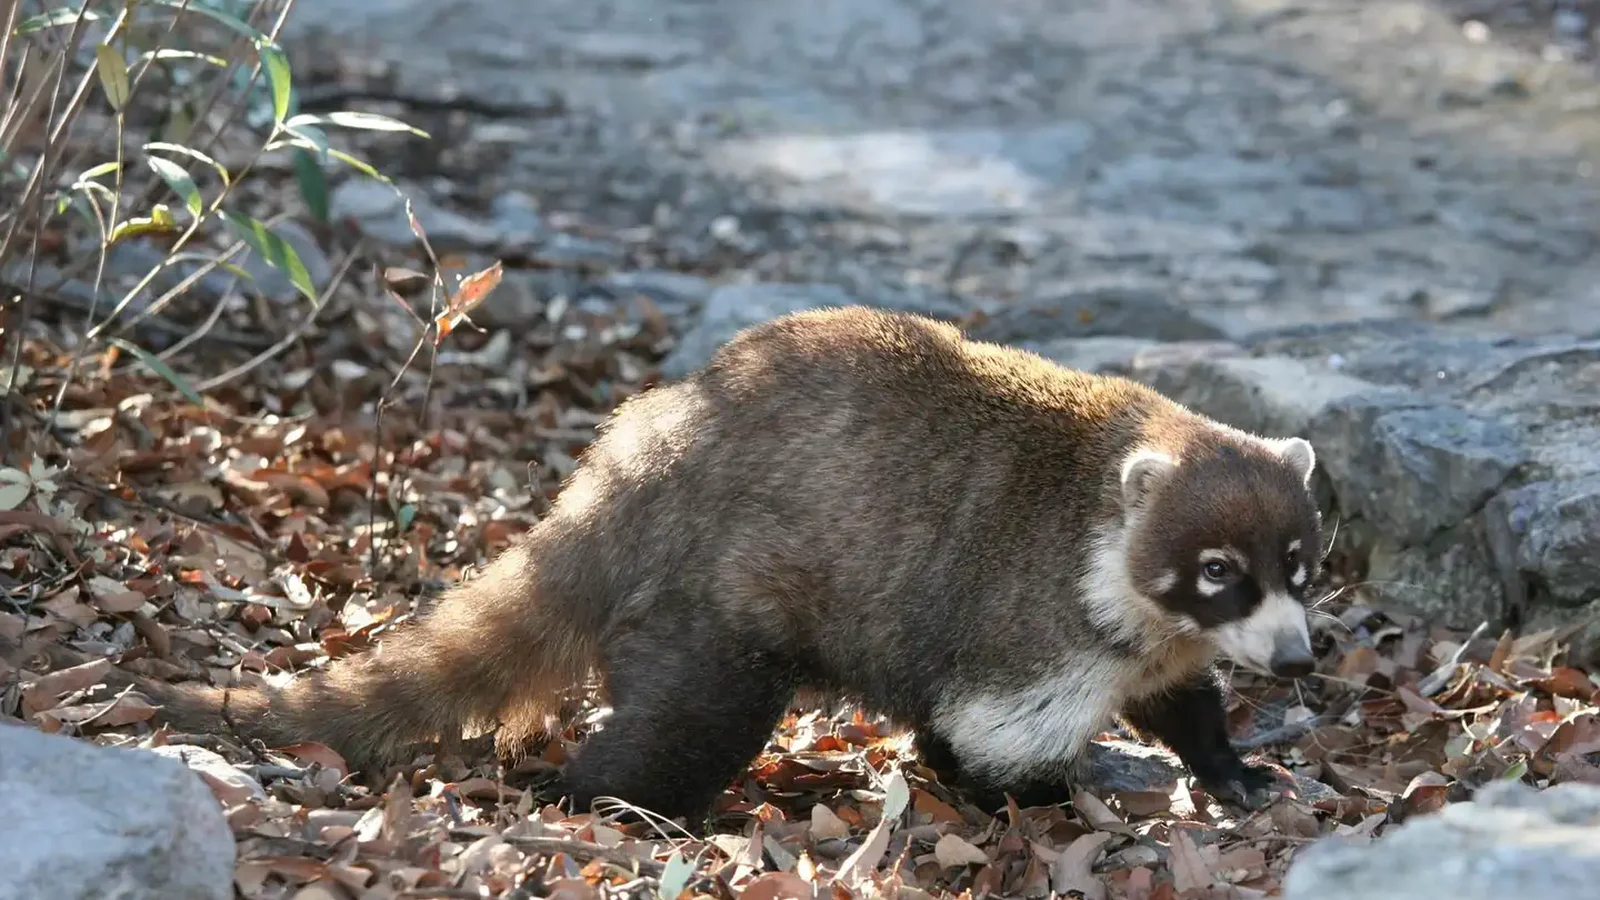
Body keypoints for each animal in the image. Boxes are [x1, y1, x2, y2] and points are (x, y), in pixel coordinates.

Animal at [131, 306, 1323, 822]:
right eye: (1219, 569)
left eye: (1300, 567)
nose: (1302, 664)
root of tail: (628, 466)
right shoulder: (1032, 621)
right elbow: (981, 736)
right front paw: (1040, 799)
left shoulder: (1143, 638)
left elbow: (1176, 697)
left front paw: (1225, 761)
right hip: (711, 607)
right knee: (691, 720)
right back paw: (607, 800)